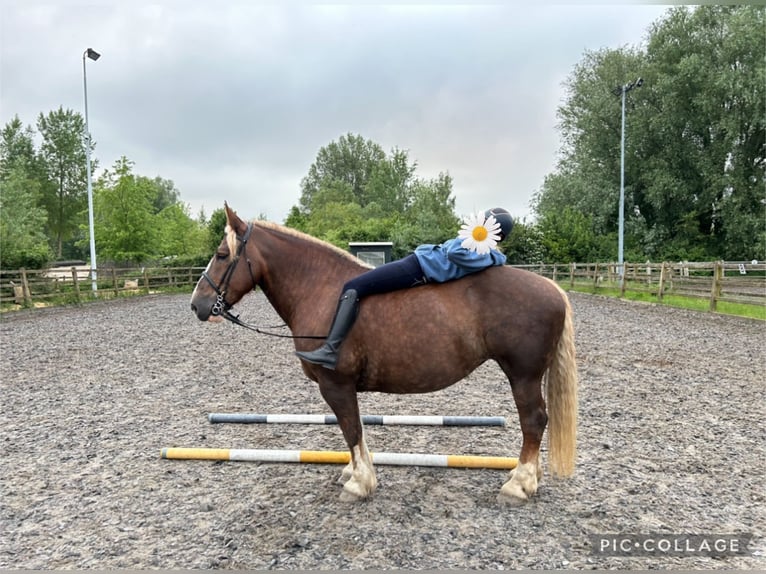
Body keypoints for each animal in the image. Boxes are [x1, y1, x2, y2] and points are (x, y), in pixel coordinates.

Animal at [190, 206, 576, 504]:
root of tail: (552, 287)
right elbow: (354, 427)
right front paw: (353, 471)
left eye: (222, 255)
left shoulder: (335, 385)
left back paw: (518, 484)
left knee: (534, 421)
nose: (198, 305)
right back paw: (528, 478)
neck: (322, 290)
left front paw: (360, 483)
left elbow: (350, 428)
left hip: (523, 375)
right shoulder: (344, 389)